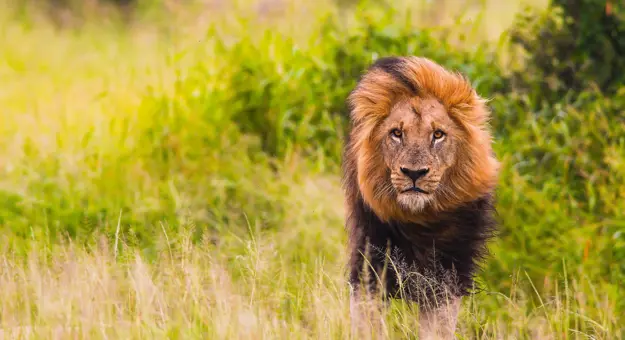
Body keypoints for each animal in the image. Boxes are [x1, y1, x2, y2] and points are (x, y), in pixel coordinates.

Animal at [338, 55, 500, 338]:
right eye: (396, 133)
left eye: (438, 135)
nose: (414, 173)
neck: (420, 222)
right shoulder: (369, 269)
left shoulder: (446, 279)